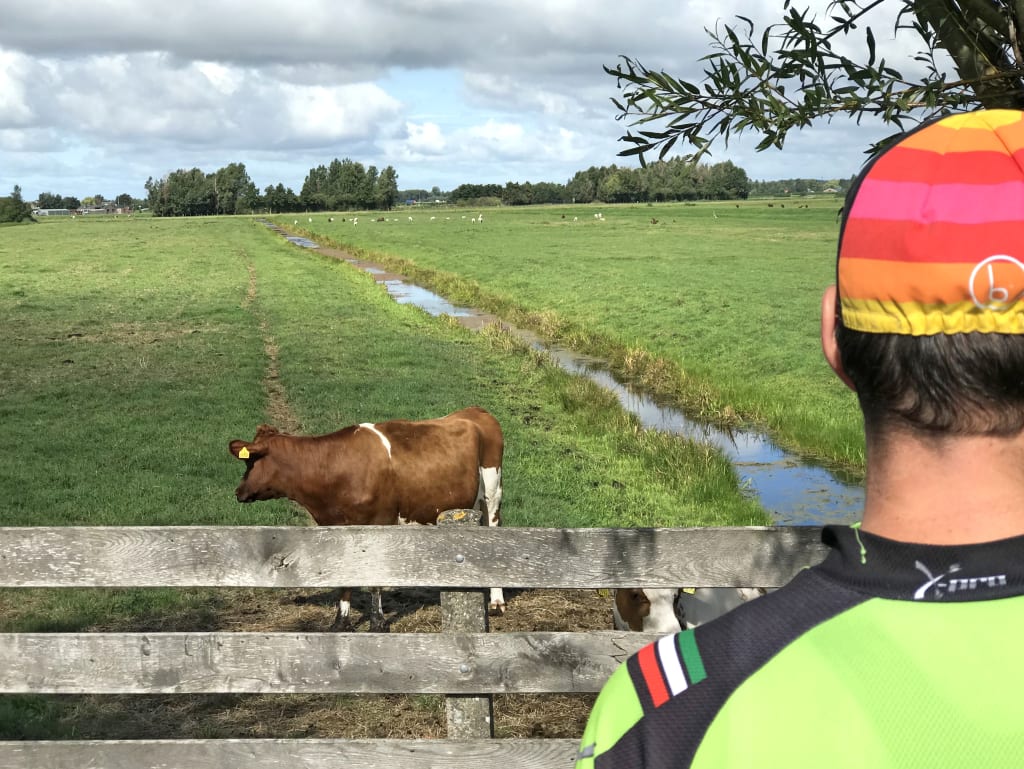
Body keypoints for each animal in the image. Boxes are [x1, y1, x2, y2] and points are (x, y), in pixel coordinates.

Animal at [228, 406, 505, 631]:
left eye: (250, 462)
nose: (238, 491)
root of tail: (474, 411)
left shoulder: (379, 522)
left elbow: (375, 579)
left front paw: (378, 623)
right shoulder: (338, 527)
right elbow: (345, 576)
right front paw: (340, 623)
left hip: (492, 493)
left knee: (494, 528)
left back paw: (497, 602)